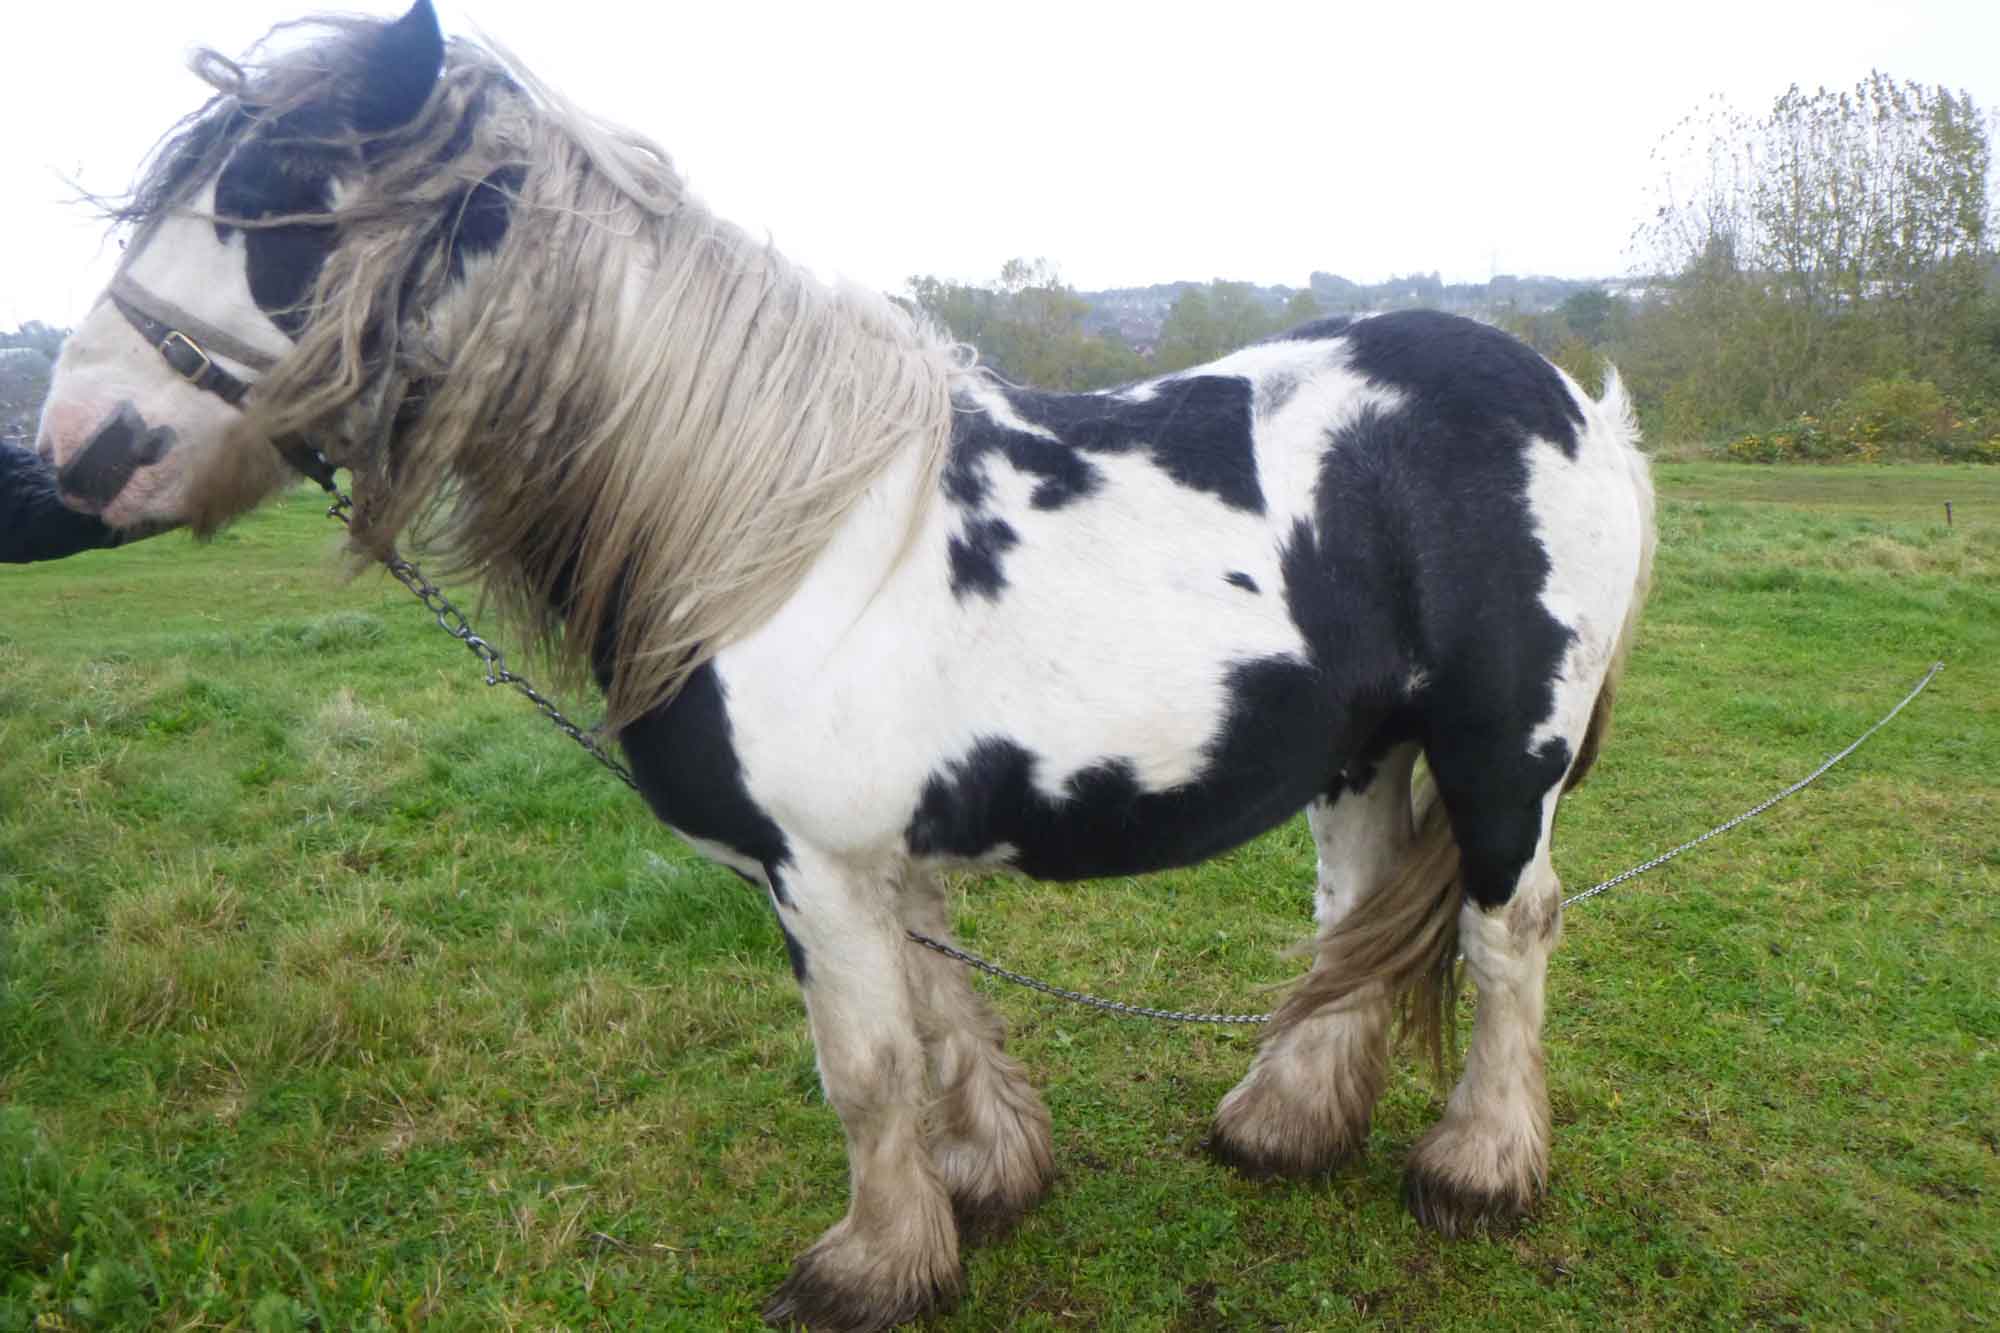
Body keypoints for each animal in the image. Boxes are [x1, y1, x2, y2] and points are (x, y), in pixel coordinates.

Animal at [35, 5, 1656, 1320]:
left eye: (271, 201)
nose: (76, 450)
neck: (761, 524)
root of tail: (1573, 401)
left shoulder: (813, 862)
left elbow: (864, 1062)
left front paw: (872, 1267)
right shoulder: (879, 859)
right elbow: (936, 1026)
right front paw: (985, 1182)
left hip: (1498, 758)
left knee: (1508, 930)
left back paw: (1479, 1165)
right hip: (1363, 750)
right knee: (1358, 913)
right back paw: (1286, 1125)